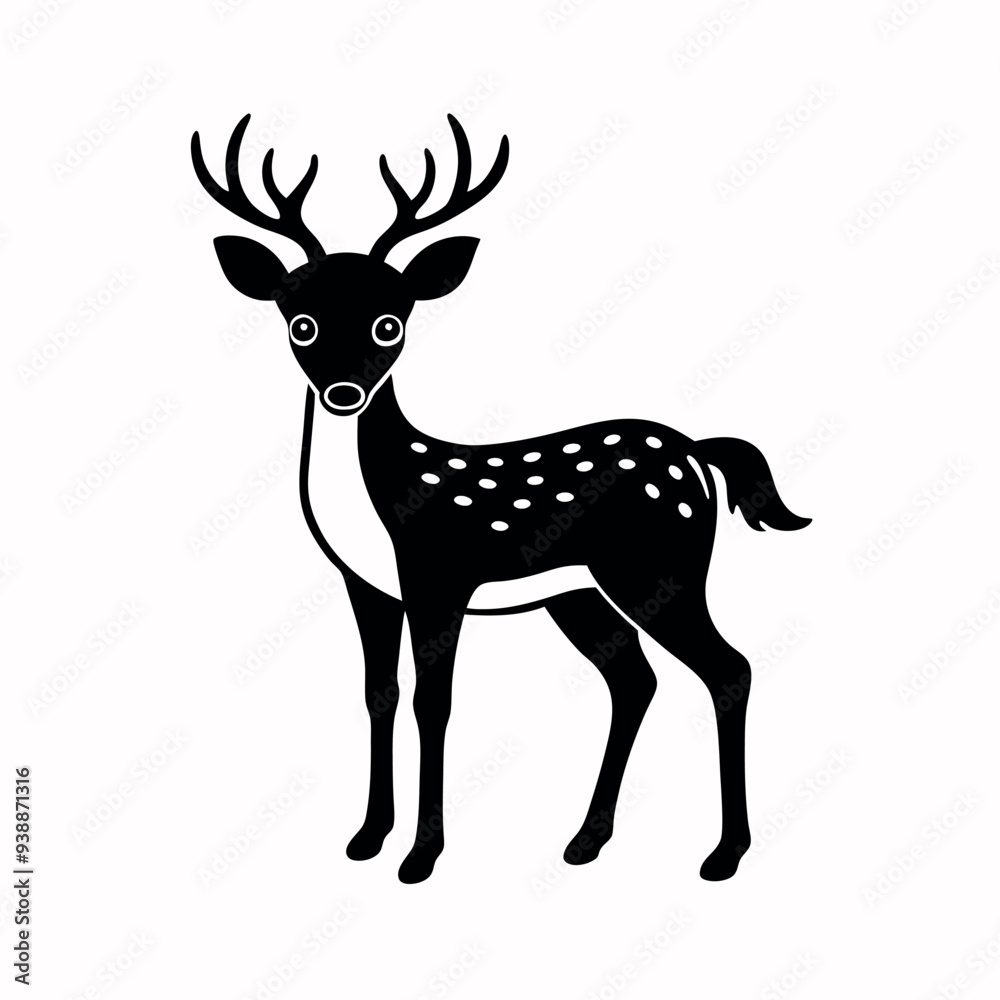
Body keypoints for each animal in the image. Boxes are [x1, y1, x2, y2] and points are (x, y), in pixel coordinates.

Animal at [191, 113, 810, 884]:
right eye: (299, 322)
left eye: (390, 323)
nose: (344, 393)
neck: (383, 496)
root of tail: (697, 451)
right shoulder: (366, 585)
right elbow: (378, 693)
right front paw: (366, 838)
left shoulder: (437, 575)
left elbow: (434, 702)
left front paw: (420, 856)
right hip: (580, 592)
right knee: (634, 679)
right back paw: (586, 841)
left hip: (657, 569)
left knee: (729, 668)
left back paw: (724, 854)